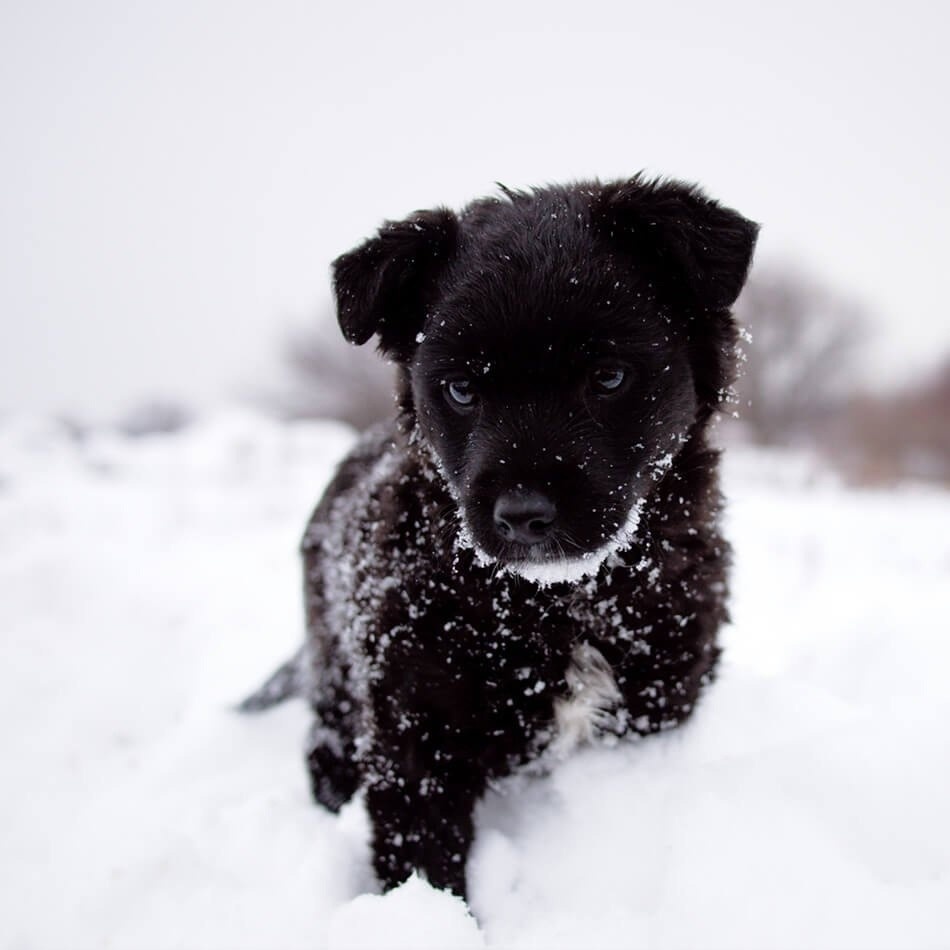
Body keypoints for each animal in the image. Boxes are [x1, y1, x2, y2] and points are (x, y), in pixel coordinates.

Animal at [244, 177, 760, 900]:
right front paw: (428, 918)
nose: (522, 514)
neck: (555, 603)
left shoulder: (660, 695)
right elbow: (423, 864)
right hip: (339, 677)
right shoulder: (413, 736)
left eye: (607, 376)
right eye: (462, 389)